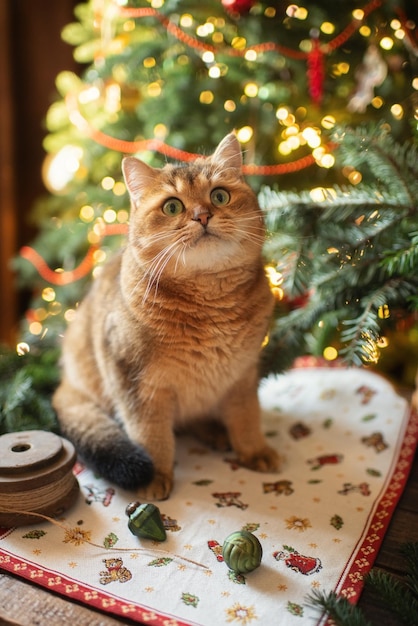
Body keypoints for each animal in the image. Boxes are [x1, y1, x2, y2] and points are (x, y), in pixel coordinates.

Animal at [52, 134, 280, 500]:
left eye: (219, 196)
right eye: (172, 207)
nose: (203, 215)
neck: (210, 305)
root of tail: (65, 380)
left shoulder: (243, 376)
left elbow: (247, 417)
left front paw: (254, 450)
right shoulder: (137, 386)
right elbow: (152, 436)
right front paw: (157, 475)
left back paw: (216, 432)